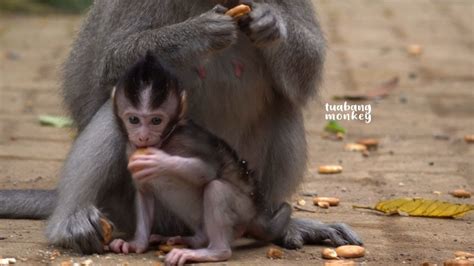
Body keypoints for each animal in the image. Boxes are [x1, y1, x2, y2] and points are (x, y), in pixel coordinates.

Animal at [109, 53, 258, 264]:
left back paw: (213, 251)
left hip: (244, 210)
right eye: (134, 120)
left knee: (216, 189)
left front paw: (159, 162)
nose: (143, 137)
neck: (165, 142)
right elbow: (144, 191)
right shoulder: (131, 150)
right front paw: (136, 244)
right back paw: (188, 240)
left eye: (156, 121)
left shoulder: (187, 138)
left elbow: (207, 170)